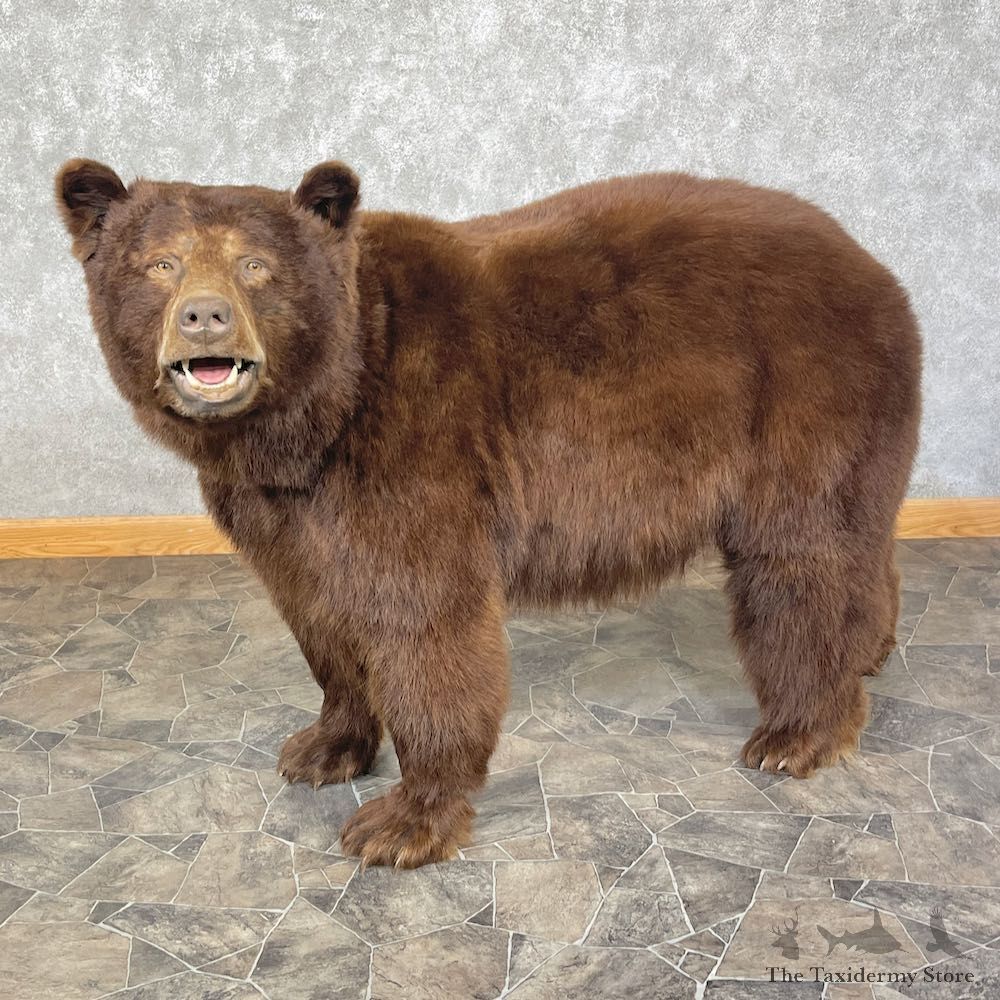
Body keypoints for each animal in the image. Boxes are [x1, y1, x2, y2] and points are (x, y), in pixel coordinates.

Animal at [56, 158, 921, 867]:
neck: (311, 420)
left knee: (802, 558)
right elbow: (320, 614)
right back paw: (871, 651)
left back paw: (799, 730)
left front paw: (404, 821)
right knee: (861, 547)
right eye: (160, 263)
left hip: (803, 393)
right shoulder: (282, 512)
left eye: (255, 267)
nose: (205, 316)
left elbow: (424, 621)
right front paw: (323, 746)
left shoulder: (416, 444)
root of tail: (874, 266)